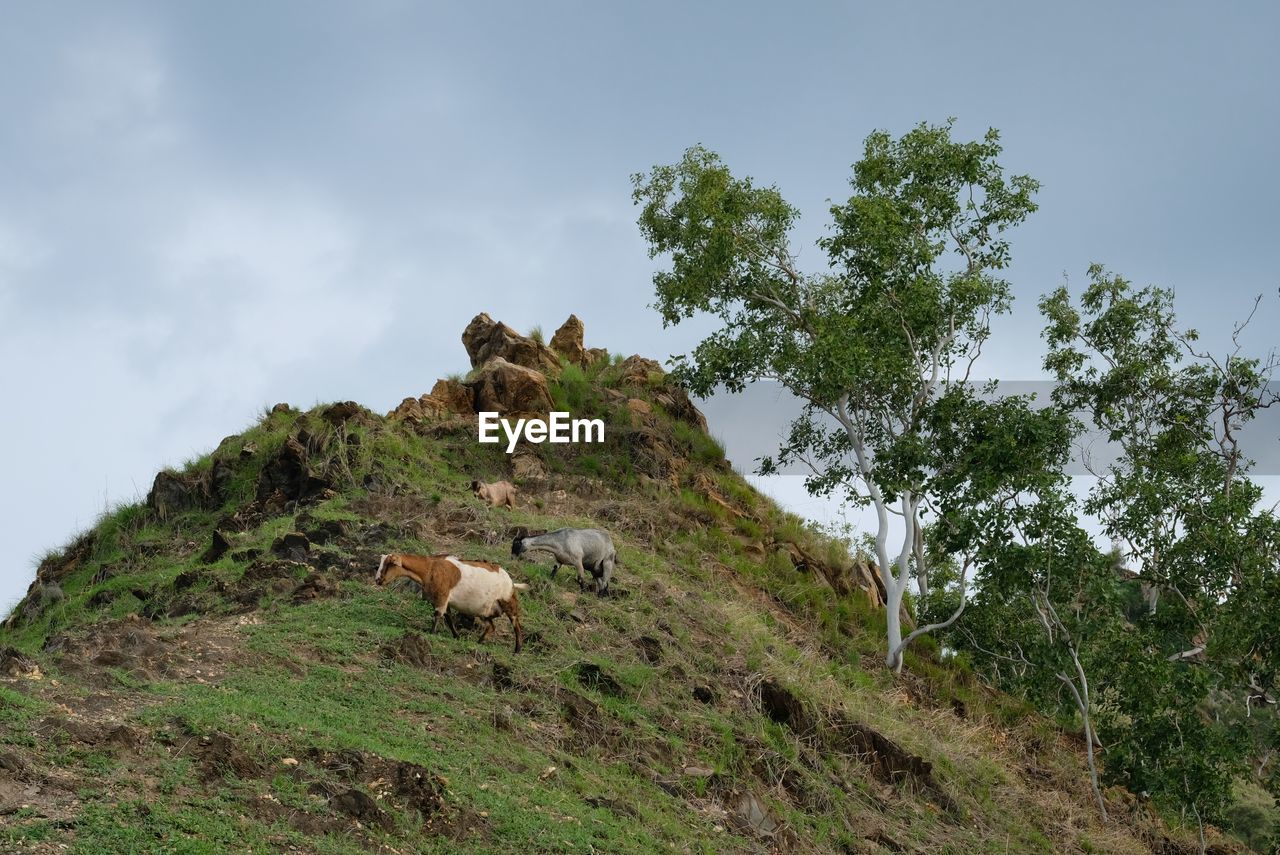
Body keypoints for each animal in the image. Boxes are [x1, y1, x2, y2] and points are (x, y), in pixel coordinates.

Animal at [373, 555, 524, 655]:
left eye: (388, 564)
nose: (377, 580)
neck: (430, 569)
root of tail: (509, 580)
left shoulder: (442, 597)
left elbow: (437, 615)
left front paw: (432, 633)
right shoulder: (443, 600)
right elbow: (449, 618)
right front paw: (457, 636)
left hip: (508, 602)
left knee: (516, 625)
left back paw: (517, 649)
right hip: (485, 611)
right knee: (491, 627)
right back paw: (479, 642)